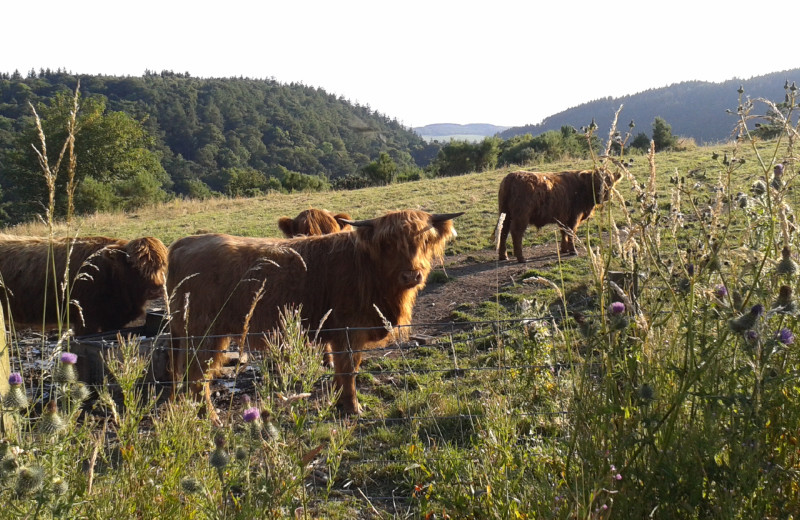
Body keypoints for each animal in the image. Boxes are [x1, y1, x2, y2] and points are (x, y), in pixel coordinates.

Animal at [166, 207, 460, 418]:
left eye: (424, 239)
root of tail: (183, 243)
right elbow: (349, 370)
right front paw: (352, 408)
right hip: (204, 337)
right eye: (387, 244)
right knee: (197, 380)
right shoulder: (348, 331)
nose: (412, 275)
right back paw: (212, 419)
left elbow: (344, 370)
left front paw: (338, 399)